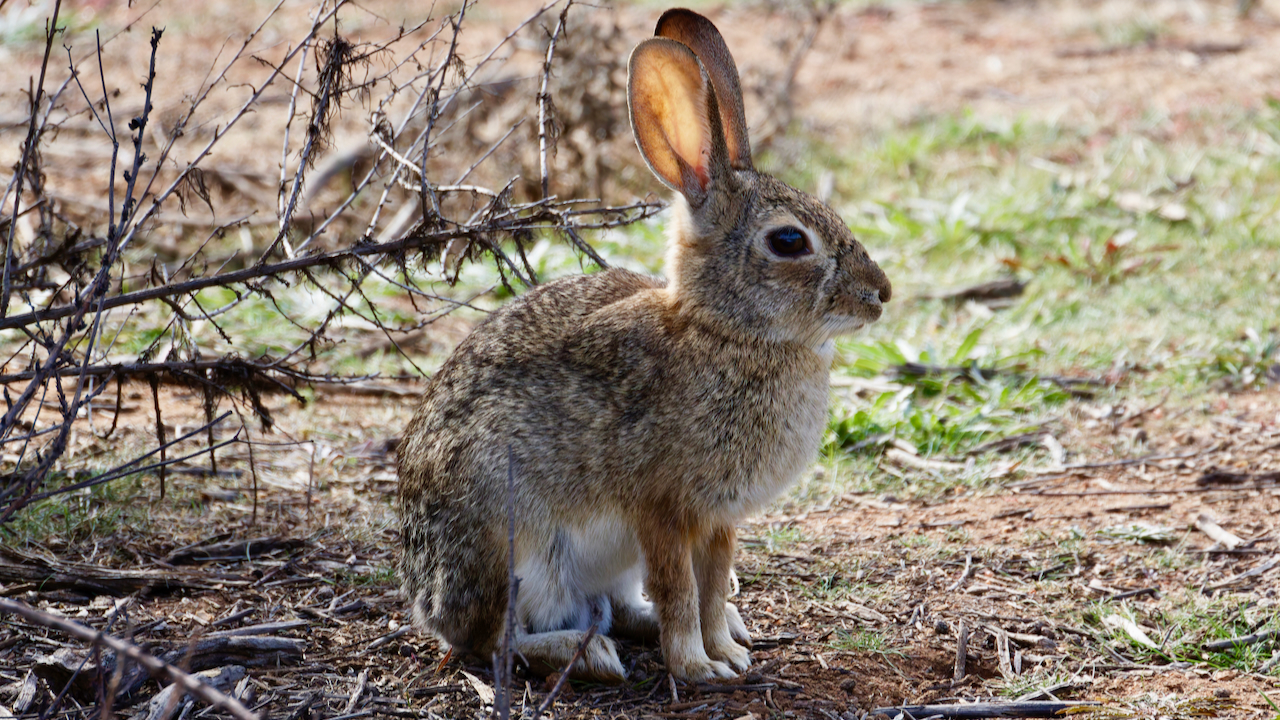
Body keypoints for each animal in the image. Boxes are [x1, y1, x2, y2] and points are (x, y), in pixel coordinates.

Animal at [397, 7, 892, 683]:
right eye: (790, 241)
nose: (880, 294)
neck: (726, 331)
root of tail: (424, 597)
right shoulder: (660, 509)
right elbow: (681, 590)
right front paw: (698, 667)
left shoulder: (717, 520)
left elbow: (711, 586)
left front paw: (728, 652)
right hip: (511, 544)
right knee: (491, 641)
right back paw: (588, 654)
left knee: (616, 607)